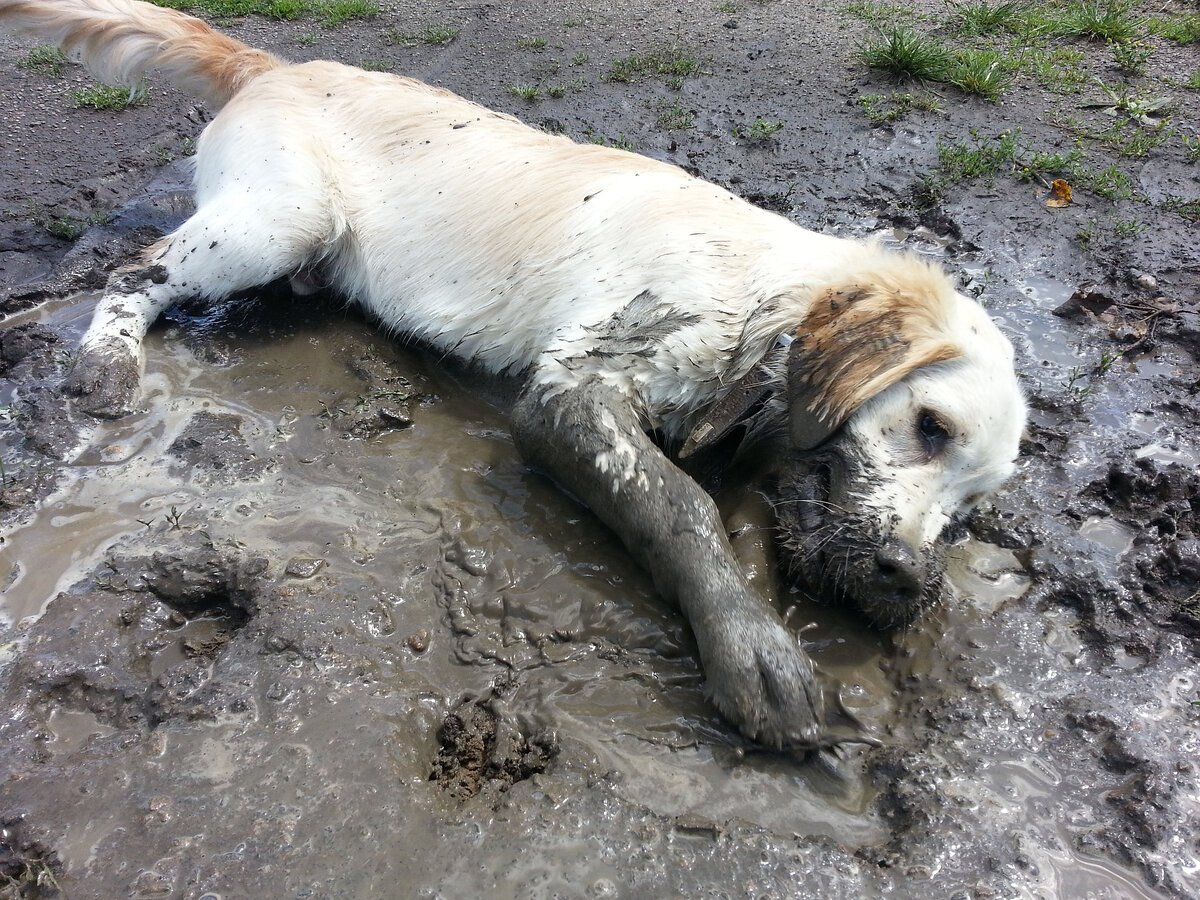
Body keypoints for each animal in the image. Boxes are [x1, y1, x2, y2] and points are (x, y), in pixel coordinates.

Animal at [4, 0, 1027, 753]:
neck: (756, 296)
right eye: (929, 426)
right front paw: (754, 654)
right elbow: (680, 507)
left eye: (972, 509)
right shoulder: (572, 391)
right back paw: (104, 363)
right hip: (275, 219)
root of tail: (274, 65)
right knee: (130, 273)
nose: (908, 580)